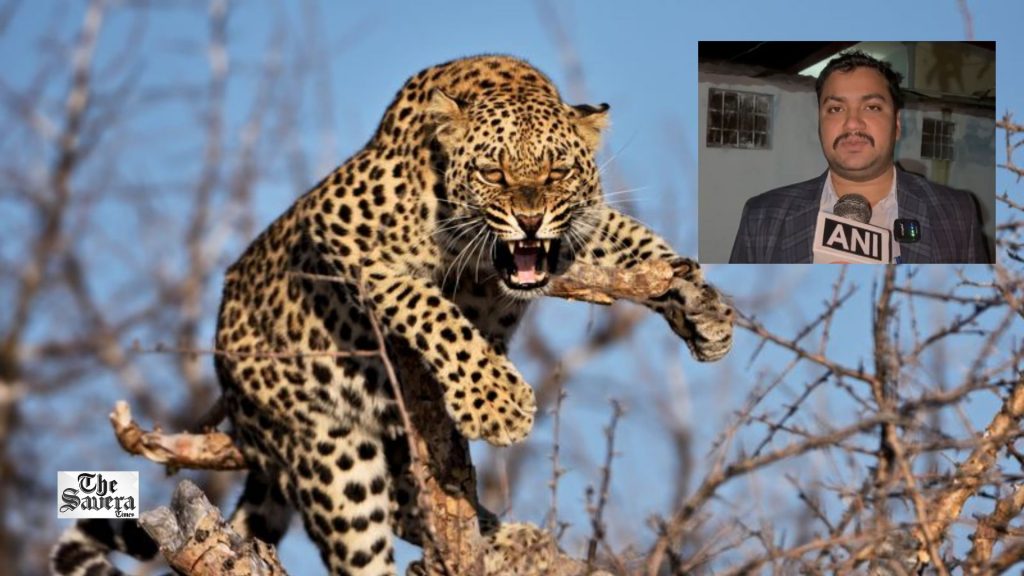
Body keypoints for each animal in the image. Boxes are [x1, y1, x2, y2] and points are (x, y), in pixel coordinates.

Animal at [51, 54, 732, 576]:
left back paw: (508, 539)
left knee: (414, 500)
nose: (530, 219)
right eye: (494, 170)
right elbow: (429, 308)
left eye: (557, 170)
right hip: (330, 451)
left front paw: (707, 313)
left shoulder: (585, 229)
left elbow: (648, 248)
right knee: (375, 529)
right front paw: (495, 402)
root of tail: (229, 388)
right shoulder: (339, 229)